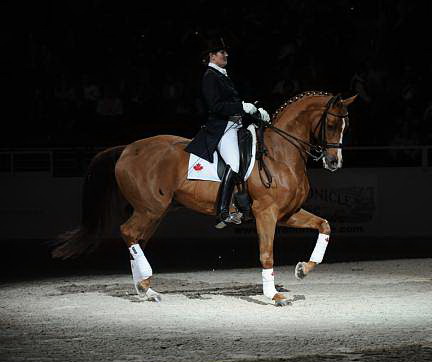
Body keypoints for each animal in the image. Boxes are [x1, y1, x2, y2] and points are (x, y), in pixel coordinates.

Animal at [53, 92, 358, 306]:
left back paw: (145, 289)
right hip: (150, 209)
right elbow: (267, 253)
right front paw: (273, 295)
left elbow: (325, 225)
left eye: (346, 125)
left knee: (135, 239)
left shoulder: (288, 213)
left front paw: (303, 269)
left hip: (153, 212)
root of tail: (127, 148)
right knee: (128, 232)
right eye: (331, 124)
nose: (334, 162)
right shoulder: (267, 213)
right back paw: (146, 285)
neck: (281, 152)